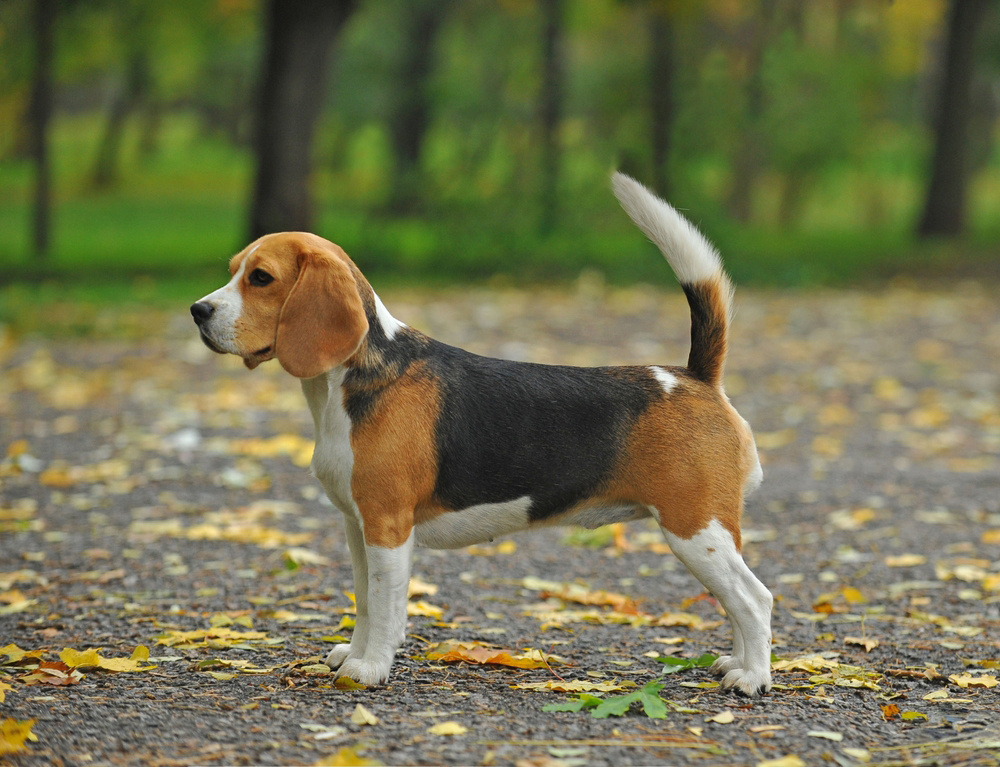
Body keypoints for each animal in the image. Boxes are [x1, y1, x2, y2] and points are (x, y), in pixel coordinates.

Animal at [193, 172, 772, 696]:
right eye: (232, 271)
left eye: (261, 278)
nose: (198, 311)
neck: (350, 380)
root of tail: (694, 377)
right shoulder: (357, 526)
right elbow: (364, 601)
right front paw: (352, 655)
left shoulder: (387, 525)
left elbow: (385, 607)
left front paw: (370, 669)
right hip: (708, 534)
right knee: (738, 602)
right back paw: (734, 662)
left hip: (695, 528)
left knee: (754, 599)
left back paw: (753, 679)